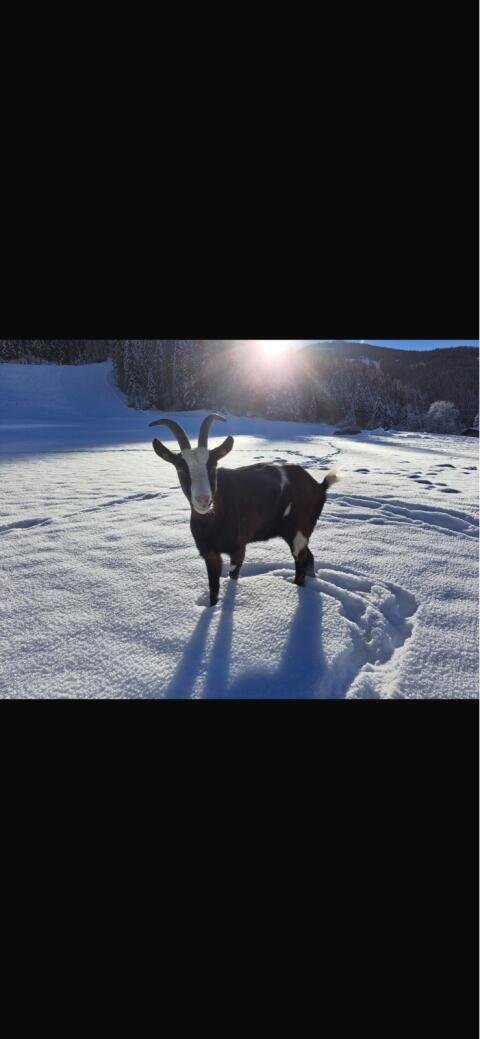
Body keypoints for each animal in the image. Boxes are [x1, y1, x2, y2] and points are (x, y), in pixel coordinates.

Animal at [150, 414, 338, 606]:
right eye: (181, 468)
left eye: (213, 465)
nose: (202, 500)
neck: (212, 520)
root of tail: (319, 486)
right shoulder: (209, 553)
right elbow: (213, 589)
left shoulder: (238, 549)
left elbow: (233, 575)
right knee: (309, 557)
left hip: (299, 531)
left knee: (301, 561)